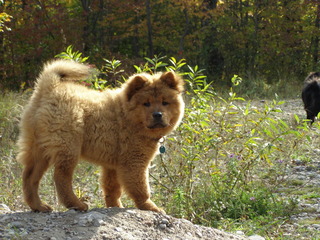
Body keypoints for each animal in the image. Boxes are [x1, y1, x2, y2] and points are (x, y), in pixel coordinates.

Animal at [16, 59, 185, 212]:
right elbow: (141, 188)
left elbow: (112, 189)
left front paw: (115, 206)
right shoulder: (134, 161)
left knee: (30, 177)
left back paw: (39, 206)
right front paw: (151, 207)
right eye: (146, 103)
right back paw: (76, 204)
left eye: (165, 102)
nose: (157, 115)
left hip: (39, 148)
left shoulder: (113, 164)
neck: (127, 116)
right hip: (68, 146)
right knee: (61, 177)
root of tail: (49, 88)